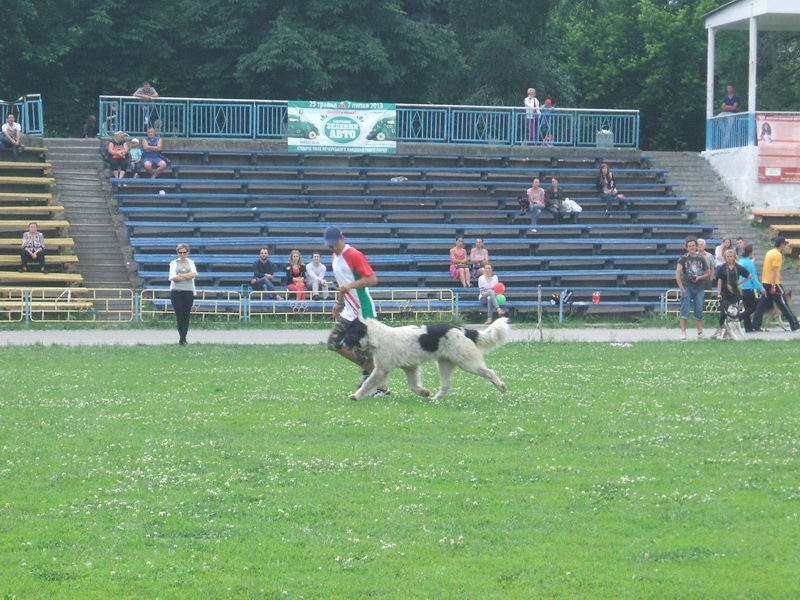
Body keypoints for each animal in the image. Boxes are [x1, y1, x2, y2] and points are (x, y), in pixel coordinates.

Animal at [342, 318, 510, 401]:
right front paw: (424, 392)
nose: (340, 343)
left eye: (349, 334)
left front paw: (356, 396)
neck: (377, 336)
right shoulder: (410, 367)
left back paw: (501, 387)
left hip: (467, 363)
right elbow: (413, 385)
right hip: (444, 364)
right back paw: (435, 399)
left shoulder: (381, 370)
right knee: (446, 386)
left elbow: (367, 383)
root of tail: (462, 330)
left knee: (489, 372)